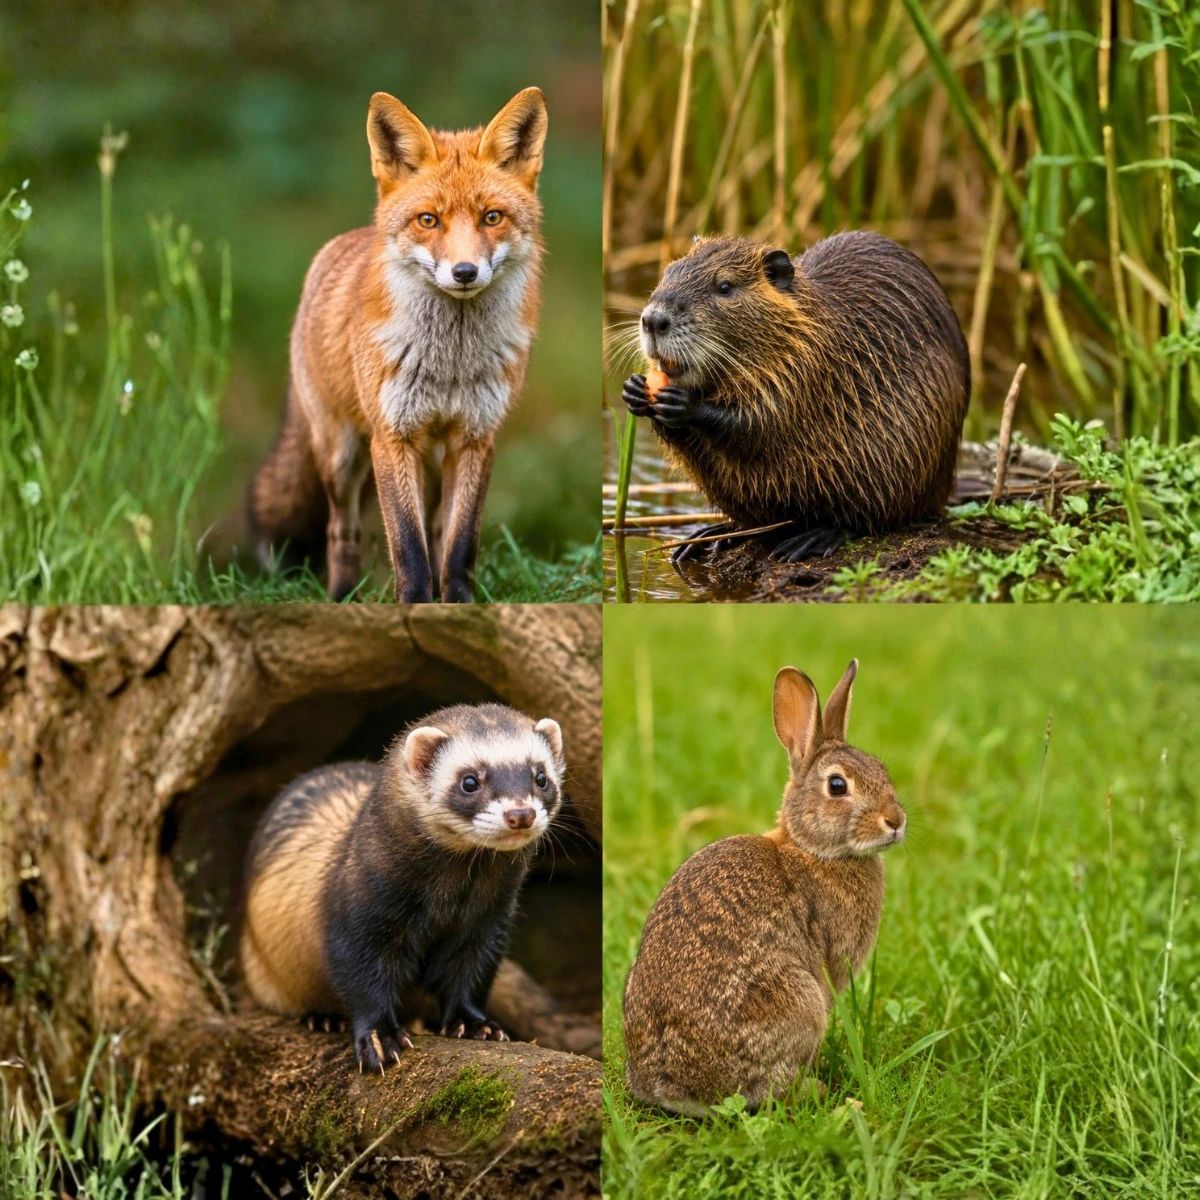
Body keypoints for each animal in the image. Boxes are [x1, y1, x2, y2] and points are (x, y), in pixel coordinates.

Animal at [248, 87, 548, 602]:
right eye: (429, 220)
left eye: (492, 217)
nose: (464, 272)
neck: (450, 364)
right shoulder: (393, 437)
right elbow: (407, 546)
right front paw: (414, 604)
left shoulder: (476, 437)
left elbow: (459, 545)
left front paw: (457, 604)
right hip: (341, 456)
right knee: (341, 531)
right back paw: (342, 596)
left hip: (433, 463)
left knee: (436, 531)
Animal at [621, 659, 906, 1115]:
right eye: (838, 786)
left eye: (882, 770)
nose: (895, 821)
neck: (814, 850)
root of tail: (674, 1086)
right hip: (799, 1002)